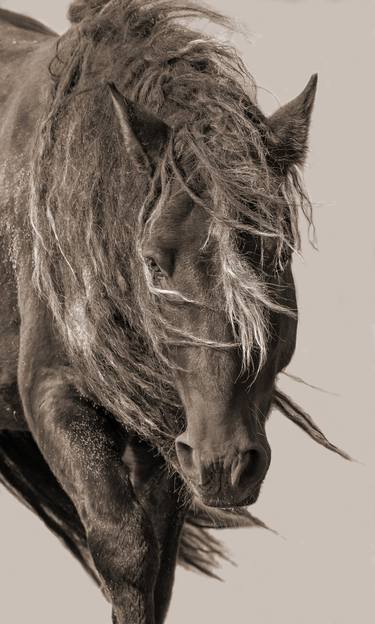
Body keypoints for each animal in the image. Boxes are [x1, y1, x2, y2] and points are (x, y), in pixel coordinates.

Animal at [0, 2, 350, 620]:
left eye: (277, 258)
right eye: (152, 265)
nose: (224, 466)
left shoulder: (166, 435)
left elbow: (157, 573)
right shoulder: (50, 390)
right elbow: (124, 551)